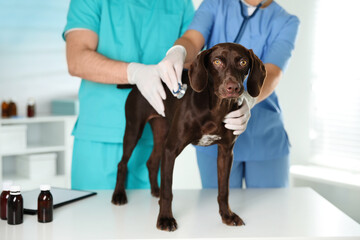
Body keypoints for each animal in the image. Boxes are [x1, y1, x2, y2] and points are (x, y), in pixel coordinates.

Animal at [111, 42, 266, 231]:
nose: (233, 87)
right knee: (122, 163)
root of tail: (136, 86)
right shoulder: (171, 149)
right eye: (216, 61)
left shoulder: (226, 152)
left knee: (151, 162)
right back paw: (119, 194)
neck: (216, 109)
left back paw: (155, 191)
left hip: (161, 132)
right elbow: (168, 191)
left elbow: (223, 190)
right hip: (134, 130)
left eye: (243, 62)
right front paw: (165, 218)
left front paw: (227, 215)